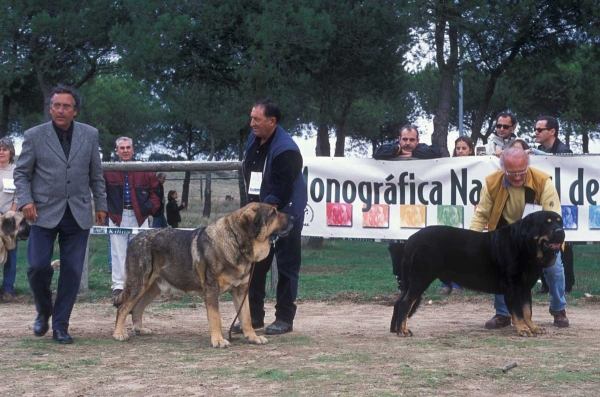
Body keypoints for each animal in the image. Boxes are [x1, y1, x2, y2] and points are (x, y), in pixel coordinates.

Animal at [113, 203, 294, 348]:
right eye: (273, 213)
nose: (293, 217)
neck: (236, 243)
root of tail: (135, 238)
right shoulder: (212, 290)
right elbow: (216, 317)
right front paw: (218, 340)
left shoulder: (241, 291)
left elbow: (246, 317)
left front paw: (253, 337)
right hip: (139, 284)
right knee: (123, 308)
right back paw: (119, 333)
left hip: (153, 288)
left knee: (137, 308)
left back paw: (139, 329)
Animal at [392, 210, 564, 338]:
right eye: (546, 223)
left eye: (559, 222)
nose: (560, 231)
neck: (524, 246)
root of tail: (411, 239)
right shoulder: (512, 287)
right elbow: (518, 312)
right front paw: (523, 329)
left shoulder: (525, 288)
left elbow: (528, 311)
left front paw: (533, 327)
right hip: (420, 278)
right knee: (405, 303)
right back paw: (402, 331)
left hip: (412, 280)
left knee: (399, 302)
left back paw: (395, 329)